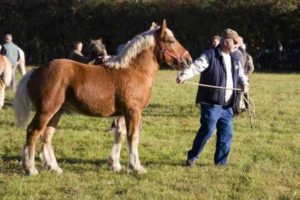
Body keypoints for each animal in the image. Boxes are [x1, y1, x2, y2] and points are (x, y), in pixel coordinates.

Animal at [13, 19, 192, 174]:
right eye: (171, 41)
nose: (188, 60)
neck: (135, 70)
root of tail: (36, 70)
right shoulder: (133, 112)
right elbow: (133, 137)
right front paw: (136, 167)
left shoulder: (123, 114)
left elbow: (120, 136)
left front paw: (116, 165)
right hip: (46, 112)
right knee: (33, 132)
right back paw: (30, 168)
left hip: (56, 112)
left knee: (47, 135)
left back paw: (53, 167)